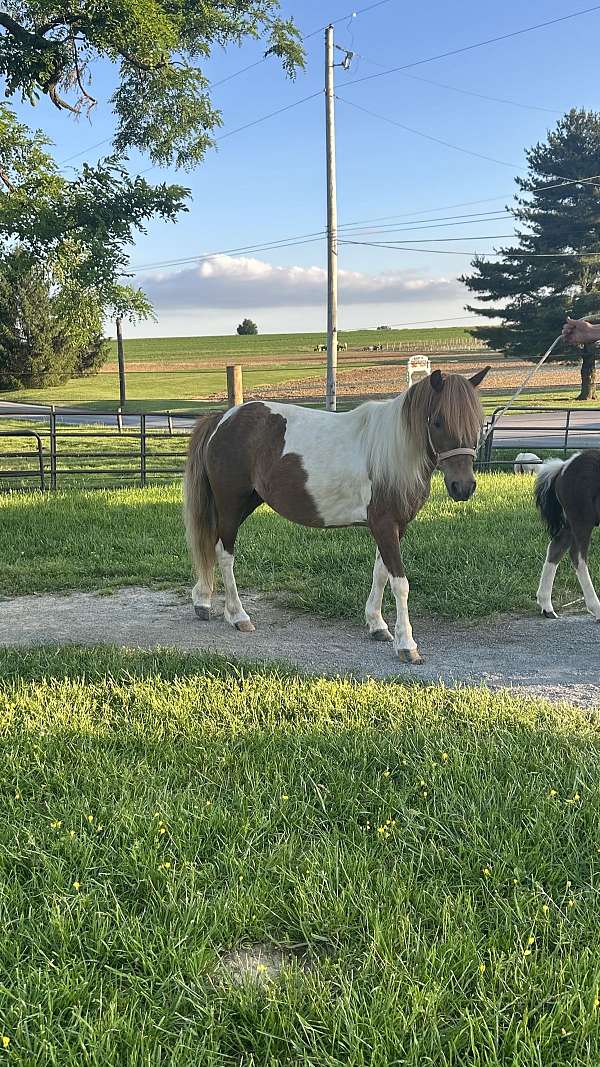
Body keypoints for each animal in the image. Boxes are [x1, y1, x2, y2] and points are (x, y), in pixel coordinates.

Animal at [184, 366, 490, 664]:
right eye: (438, 421)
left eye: (477, 422)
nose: (463, 487)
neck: (393, 450)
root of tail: (223, 419)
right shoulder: (384, 524)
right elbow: (400, 583)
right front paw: (407, 645)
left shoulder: (396, 526)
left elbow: (381, 572)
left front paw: (377, 625)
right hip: (230, 503)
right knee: (225, 554)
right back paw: (238, 615)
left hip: (247, 503)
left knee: (212, 546)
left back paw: (203, 601)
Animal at [535, 451, 600, 620]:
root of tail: (564, 466)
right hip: (582, 520)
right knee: (578, 557)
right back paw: (596, 608)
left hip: (570, 524)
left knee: (556, 549)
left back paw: (547, 607)